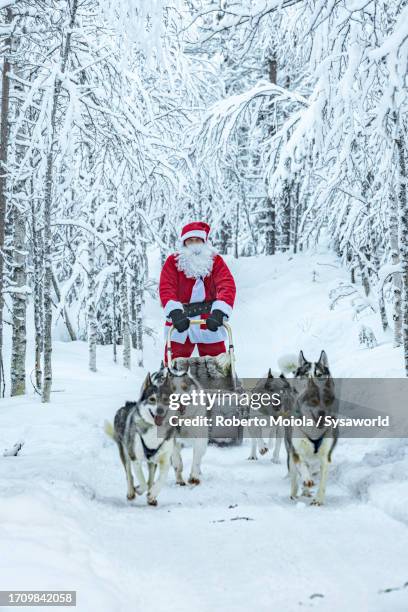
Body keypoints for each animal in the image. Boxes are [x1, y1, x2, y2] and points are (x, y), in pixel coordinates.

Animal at [284, 378, 338, 506]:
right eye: (314, 401)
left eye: (327, 401)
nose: (322, 412)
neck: (314, 432)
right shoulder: (297, 452)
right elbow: (302, 466)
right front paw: (307, 480)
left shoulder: (325, 456)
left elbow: (323, 481)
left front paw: (318, 499)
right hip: (291, 456)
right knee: (295, 477)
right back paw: (295, 493)